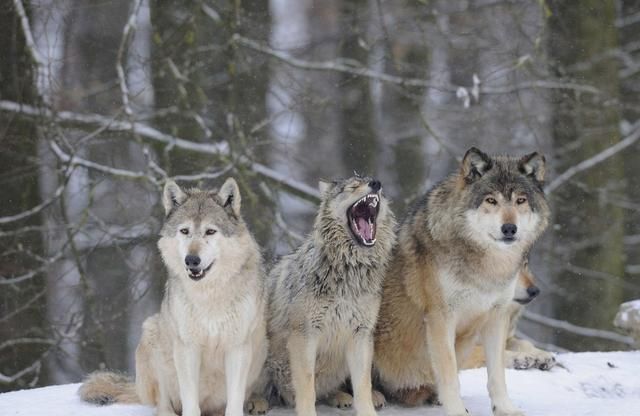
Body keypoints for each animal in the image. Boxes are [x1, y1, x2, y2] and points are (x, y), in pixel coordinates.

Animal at [251, 176, 396, 416]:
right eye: (353, 186)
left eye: (378, 188)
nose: (377, 183)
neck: (350, 272)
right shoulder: (305, 335)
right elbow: (306, 386)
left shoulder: (361, 334)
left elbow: (363, 385)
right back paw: (257, 402)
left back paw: (345, 397)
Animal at [376, 149, 552, 416]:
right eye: (491, 200)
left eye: (520, 200)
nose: (509, 228)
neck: (488, 267)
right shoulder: (441, 318)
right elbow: (450, 375)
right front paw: (457, 410)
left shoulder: (496, 317)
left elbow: (498, 374)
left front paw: (505, 408)